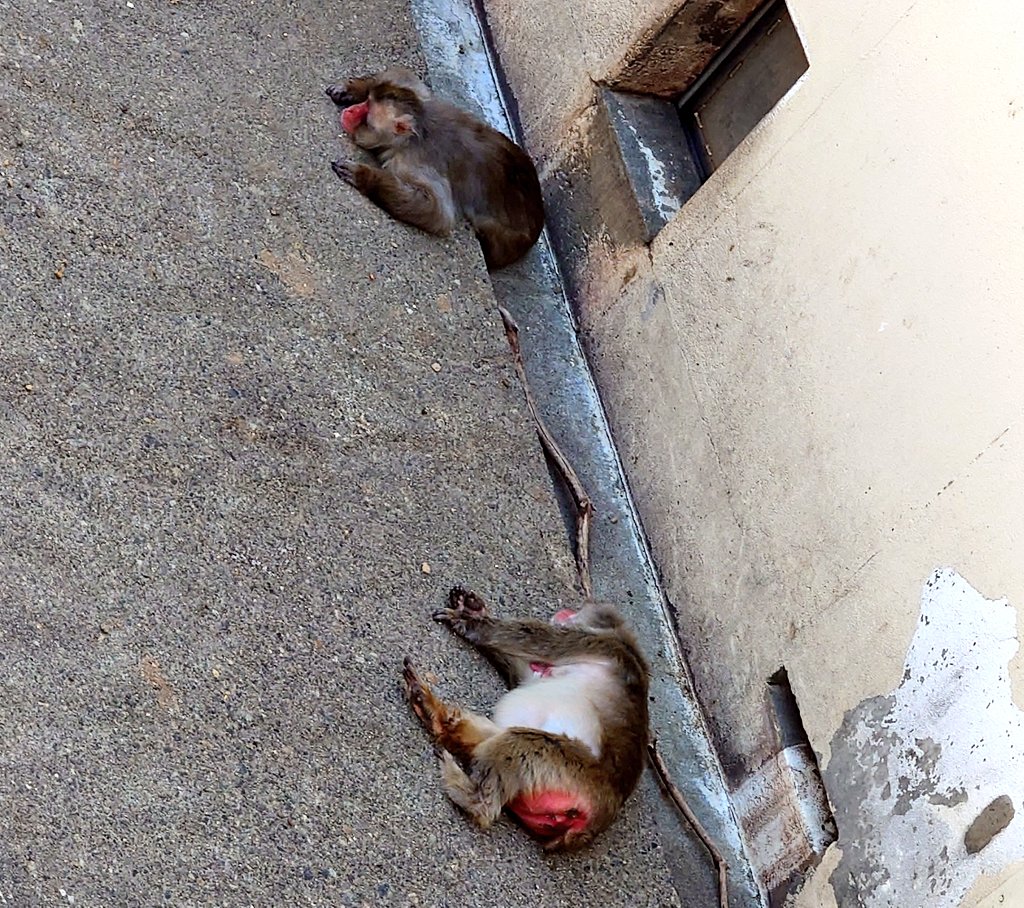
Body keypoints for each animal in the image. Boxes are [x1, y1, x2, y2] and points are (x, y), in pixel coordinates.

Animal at [327, 67, 548, 270]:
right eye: (366, 102)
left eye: (366, 111)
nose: (350, 112)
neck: (414, 134)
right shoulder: (422, 99)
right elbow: (407, 78)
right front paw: (356, 87)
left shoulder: (411, 163)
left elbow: (438, 213)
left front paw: (364, 176)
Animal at [399, 589, 647, 851]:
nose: (564, 614)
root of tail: (595, 822)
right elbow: (523, 672)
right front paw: (475, 609)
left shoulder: (595, 642)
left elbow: (529, 640)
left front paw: (470, 623)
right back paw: (435, 714)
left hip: (568, 769)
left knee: (520, 743)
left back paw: (475, 799)